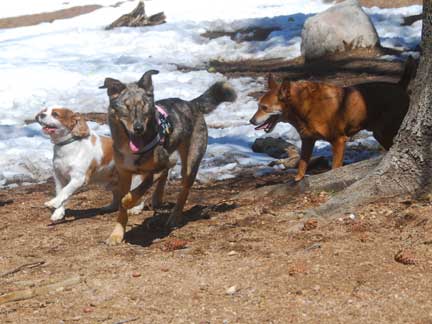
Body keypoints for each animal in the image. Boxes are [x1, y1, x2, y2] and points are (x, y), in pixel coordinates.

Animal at [99, 70, 236, 243]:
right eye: (127, 107)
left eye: (144, 106)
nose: (138, 128)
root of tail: (191, 104)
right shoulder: (124, 173)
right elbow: (124, 204)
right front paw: (116, 235)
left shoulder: (156, 169)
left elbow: (134, 193)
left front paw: (128, 202)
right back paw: (157, 199)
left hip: (190, 162)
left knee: (183, 188)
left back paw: (174, 217)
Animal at [250, 60, 416, 182]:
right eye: (258, 105)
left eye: (264, 107)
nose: (251, 121)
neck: (303, 108)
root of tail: (400, 85)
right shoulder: (307, 141)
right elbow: (302, 165)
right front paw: (297, 180)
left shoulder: (338, 141)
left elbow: (335, 168)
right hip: (380, 133)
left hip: (386, 131)